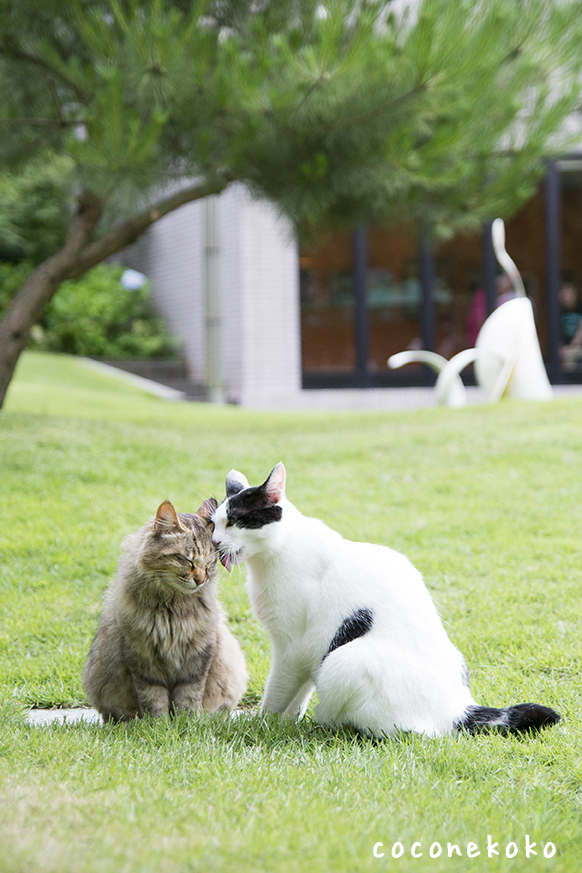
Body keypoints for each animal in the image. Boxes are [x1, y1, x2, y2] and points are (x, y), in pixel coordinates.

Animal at [82, 498, 246, 724]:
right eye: (188, 560)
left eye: (210, 563)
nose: (201, 580)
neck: (172, 607)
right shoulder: (142, 655)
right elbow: (153, 698)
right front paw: (159, 725)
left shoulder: (198, 654)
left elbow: (189, 696)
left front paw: (186, 723)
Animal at [211, 464, 560, 736]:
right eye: (214, 522)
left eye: (234, 521)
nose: (214, 542)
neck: (274, 553)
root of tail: (459, 709)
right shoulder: (307, 654)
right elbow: (298, 697)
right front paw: (285, 722)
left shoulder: (292, 649)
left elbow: (278, 694)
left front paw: (263, 723)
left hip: (343, 659)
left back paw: (329, 724)